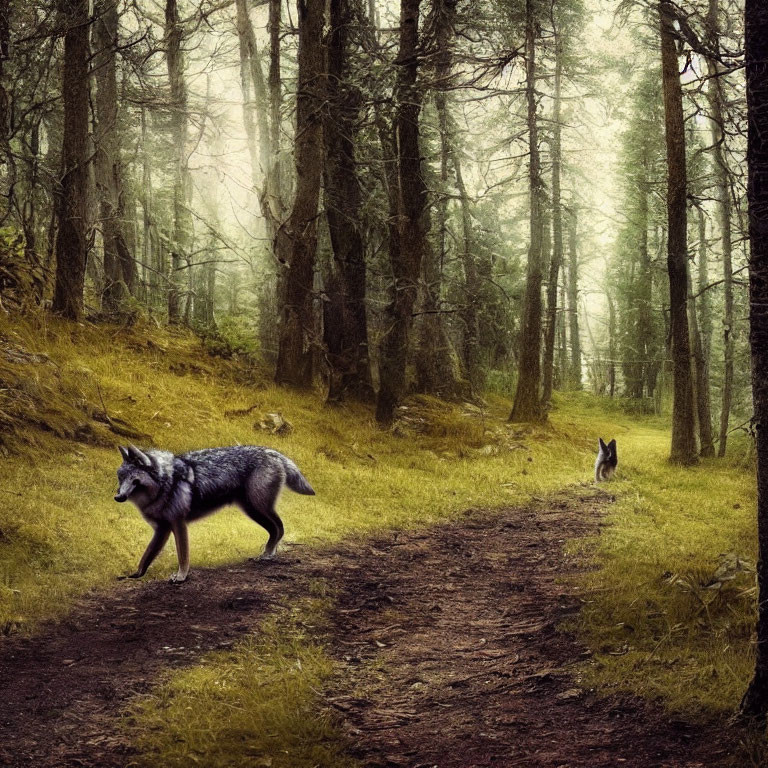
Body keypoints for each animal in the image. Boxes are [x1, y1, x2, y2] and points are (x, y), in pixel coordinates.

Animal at [113, 444, 316, 584]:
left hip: (259, 508)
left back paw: (268, 555)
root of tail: (270, 451)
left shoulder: (178, 524)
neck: (166, 482)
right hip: (253, 511)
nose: (117, 496)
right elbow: (146, 556)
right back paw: (267, 555)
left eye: (133, 479)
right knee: (276, 529)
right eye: (121, 478)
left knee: (280, 528)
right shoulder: (162, 530)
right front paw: (135, 575)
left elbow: (183, 556)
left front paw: (181, 577)